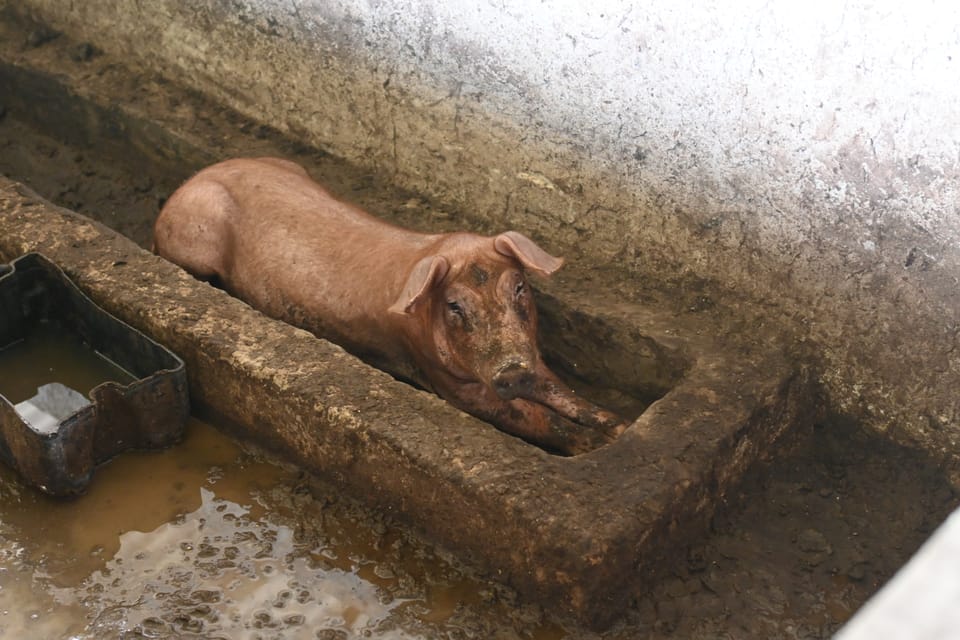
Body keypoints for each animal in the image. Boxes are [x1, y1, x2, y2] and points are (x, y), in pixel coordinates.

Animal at [153, 157, 627, 454]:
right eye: (454, 306)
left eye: (519, 288)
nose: (511, 371)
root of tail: (187, 184)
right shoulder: (452, 384)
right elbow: (532, 417)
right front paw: (600, 445)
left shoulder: (532, 355)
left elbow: (563, 392)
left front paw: (620, 427)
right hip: (192, 242)